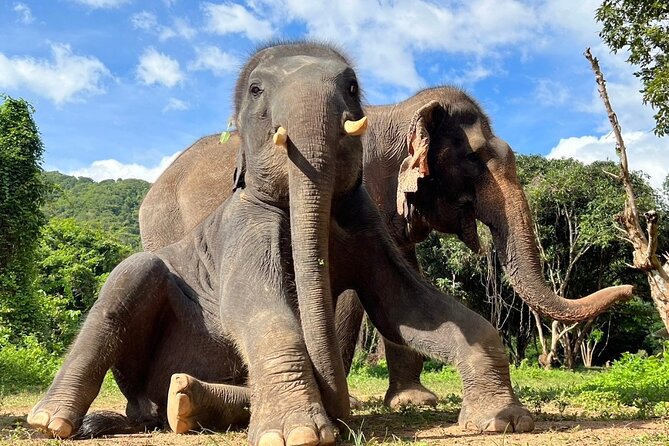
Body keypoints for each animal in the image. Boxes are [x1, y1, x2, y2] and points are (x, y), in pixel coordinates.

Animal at [30, 41, 536, 442]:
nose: (344, 415)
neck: (399, 111)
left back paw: (184, 401)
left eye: (352, 87)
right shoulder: (247, 222)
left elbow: (405, 302)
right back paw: (52, 422)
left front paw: (501, 420)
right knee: (136, 273)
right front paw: (301, 432)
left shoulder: (366, 219)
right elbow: (263, 309)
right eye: (473, 159)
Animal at [140, 86, 632, 412]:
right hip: (169, 232)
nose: (630, 285)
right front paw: (352, 401)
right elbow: (350, 295)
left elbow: (401, 276)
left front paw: (415, 401)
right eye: (473, 159)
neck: (402, 111)